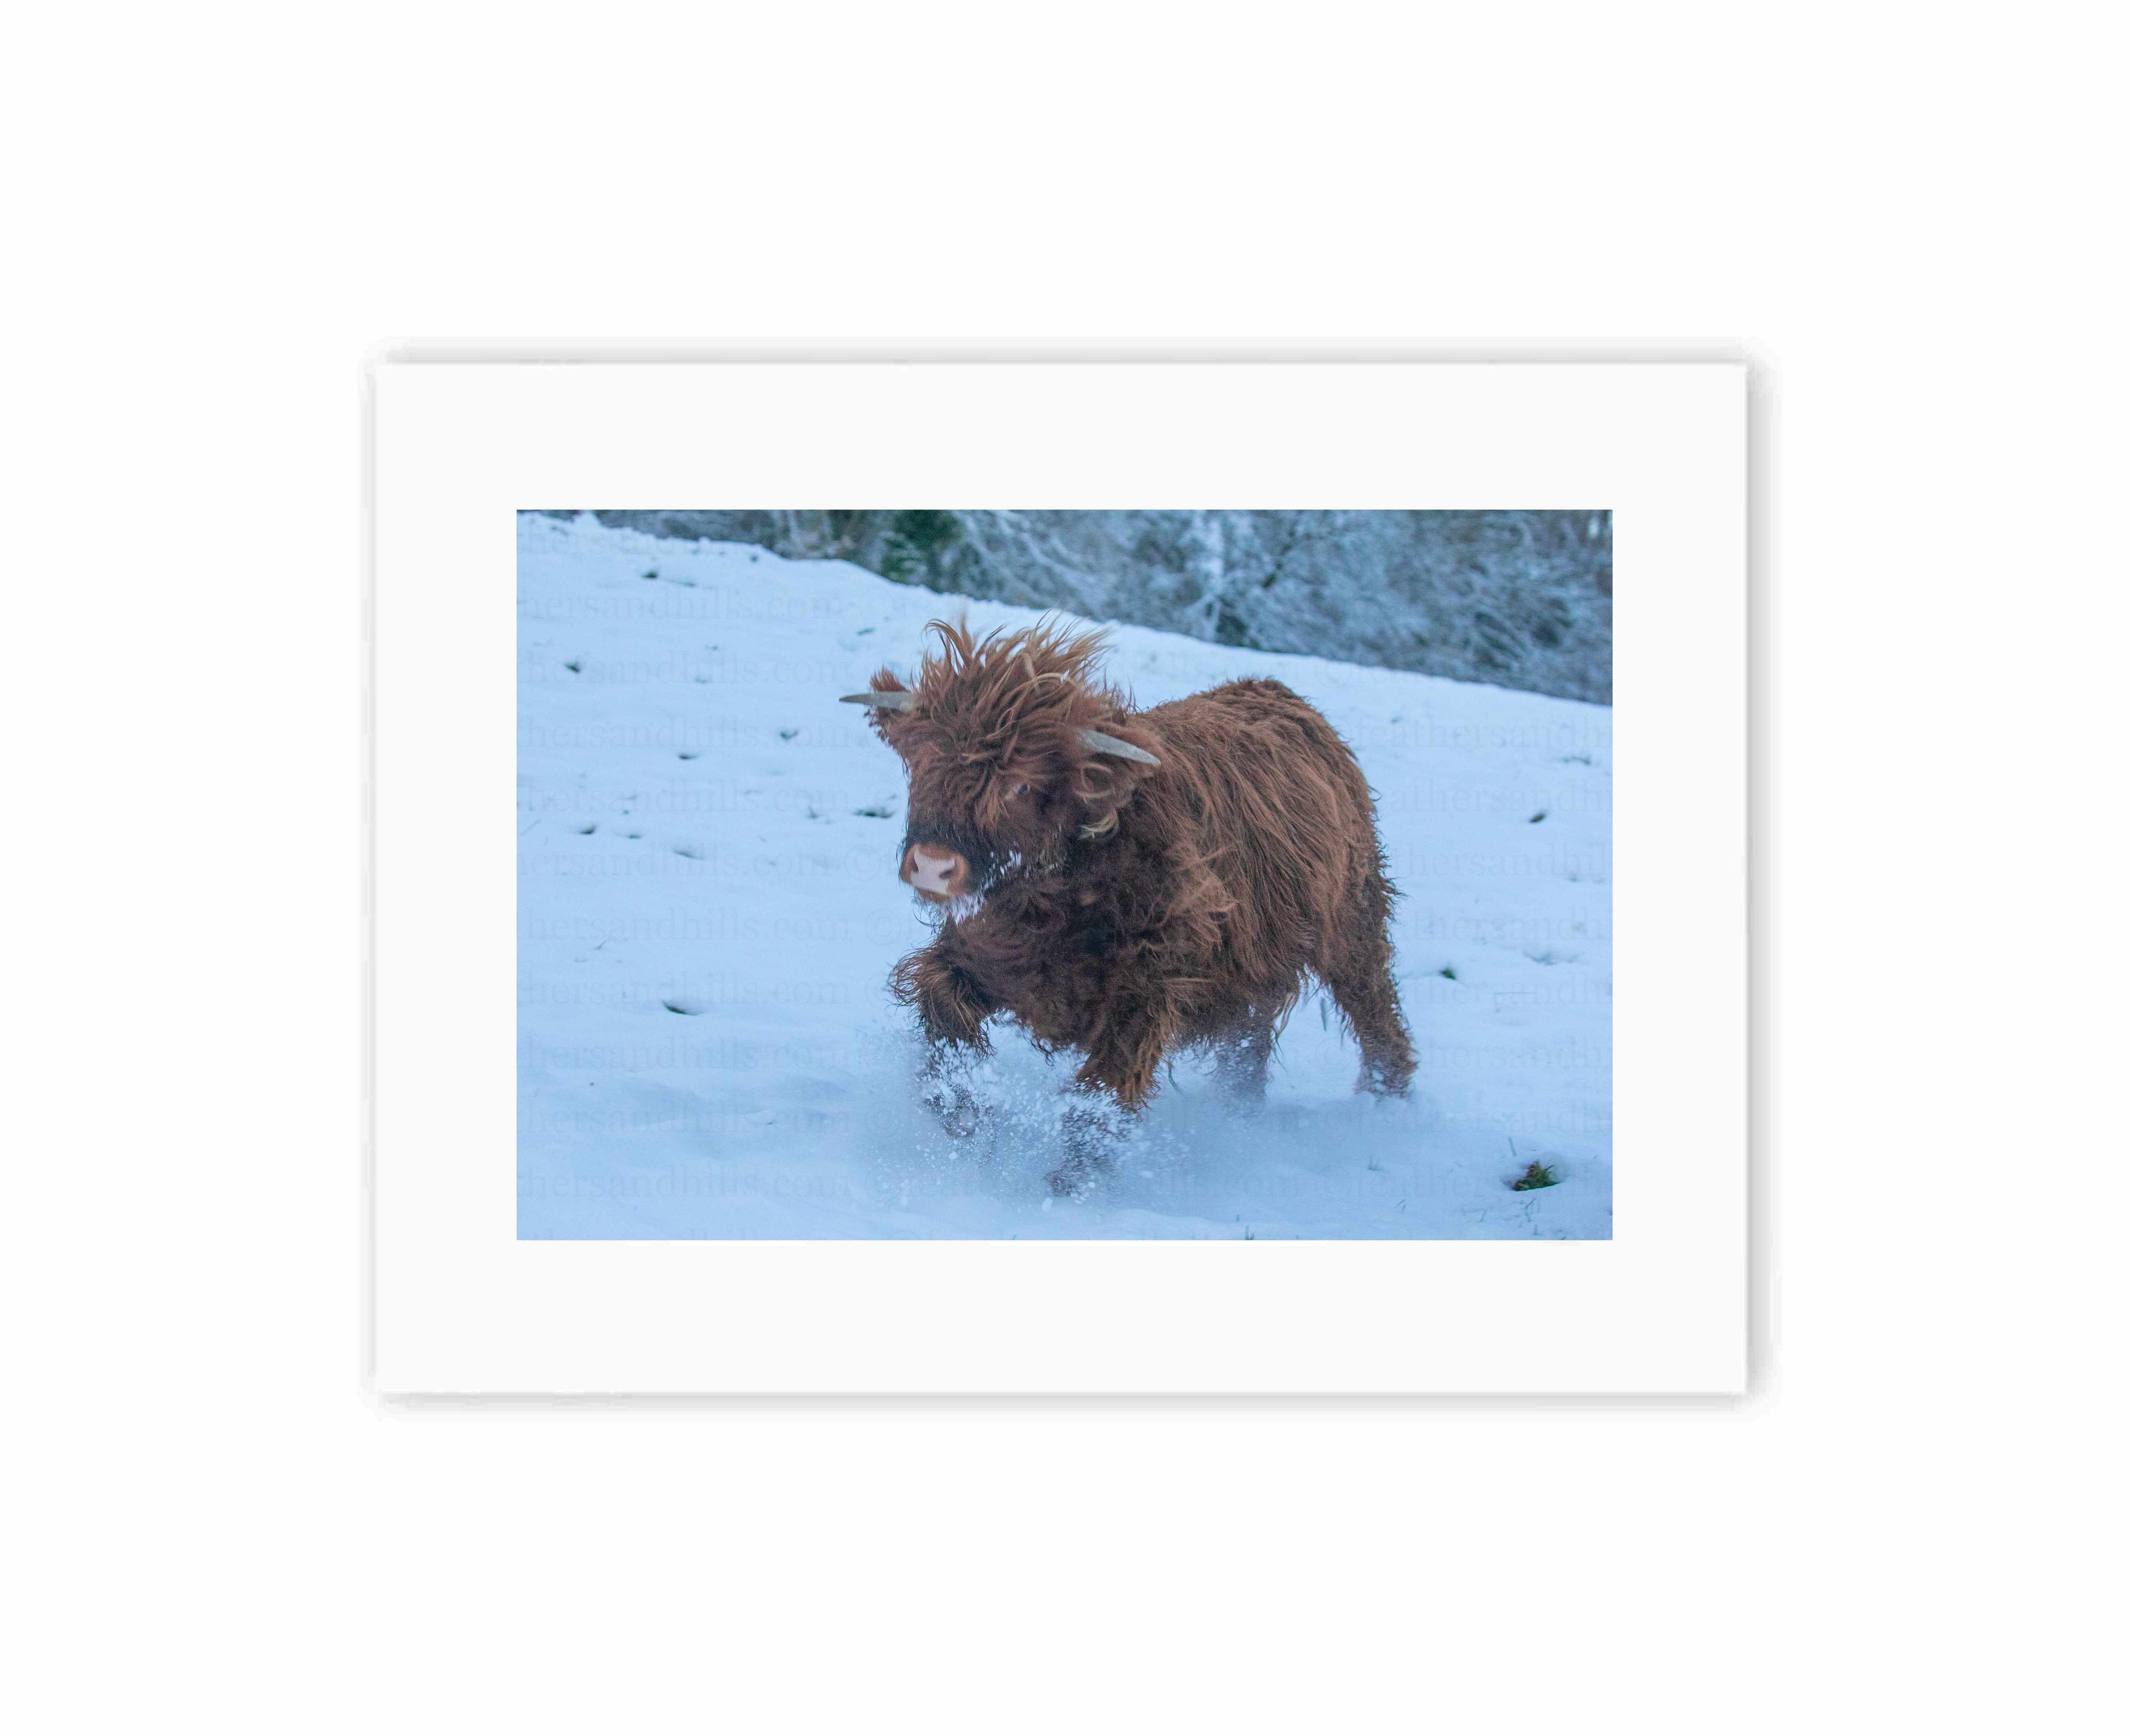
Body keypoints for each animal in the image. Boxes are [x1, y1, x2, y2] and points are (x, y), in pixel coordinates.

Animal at [843, 617, 1415, 1193]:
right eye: (920, 764)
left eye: (1020, 784)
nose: (933, 865)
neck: (1055, 896)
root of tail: (1281, 696)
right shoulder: (983, 957)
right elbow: (943, 1016)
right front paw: (967, 1123)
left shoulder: (1146, 991)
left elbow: (1102, 1094)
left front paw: (1069, 1185)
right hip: (1257, 960)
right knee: (1249, 1036)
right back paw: (1242, 1109)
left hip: (1353, 921)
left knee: (1374, 1010)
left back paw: (1387, 1105)